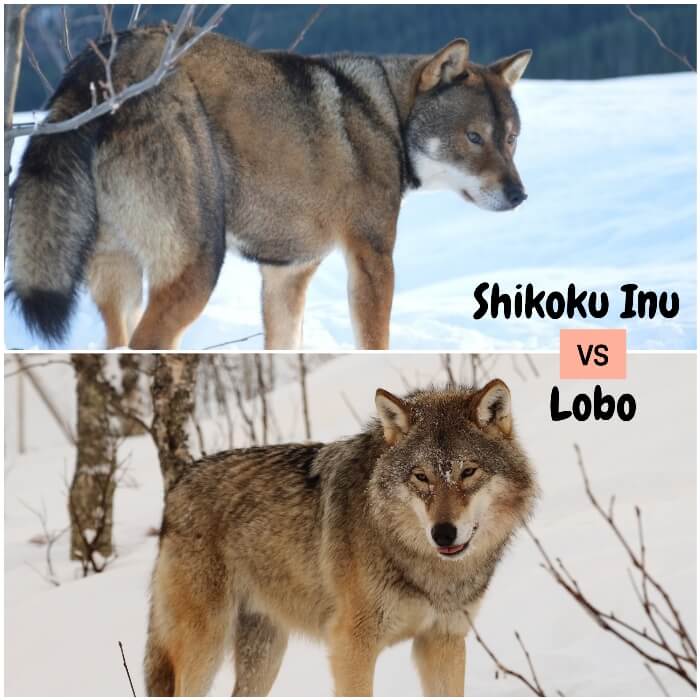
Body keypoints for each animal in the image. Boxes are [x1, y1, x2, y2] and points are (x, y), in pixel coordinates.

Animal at [6, 25, 532, 350]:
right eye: (473, 137)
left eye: (510, 138)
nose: (519, 196)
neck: (385, 117)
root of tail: (111, 54)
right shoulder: (372, 259)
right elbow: (374, 344)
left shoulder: (286, 274)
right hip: (197, 266)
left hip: (120, 284)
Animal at [145, 380, 540, 696]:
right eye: (421, 476)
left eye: (468, 471)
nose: (443, 533)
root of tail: (179, 483)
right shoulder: (351, 645)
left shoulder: (443, 640)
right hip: (205, 646)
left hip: (264, 654)